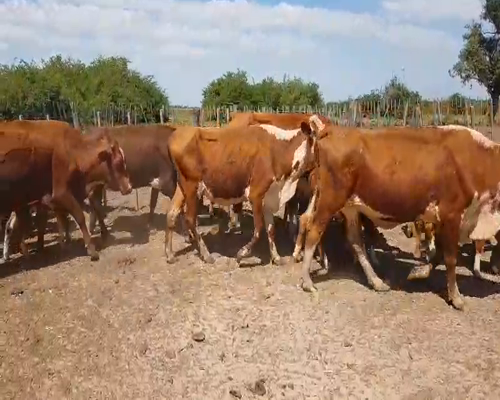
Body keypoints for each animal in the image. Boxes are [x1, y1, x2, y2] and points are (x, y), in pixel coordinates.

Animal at [0, 120, 131, 260]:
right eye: (119, 163)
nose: (129, 188)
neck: (73, 154)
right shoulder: (60, 195)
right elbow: (79, 217)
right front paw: (91, 250)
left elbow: (66, 219)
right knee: (12, 227)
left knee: (16, 226)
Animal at [166, 120, 318, 268]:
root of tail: (178, 133)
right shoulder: (255, 194)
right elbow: (259, 228)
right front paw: (241, 254)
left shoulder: (269, 197)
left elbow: (271, 229)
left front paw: (276, 257)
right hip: (192, 186)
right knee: (190, 219)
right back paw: (206, 254)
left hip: (182, 187)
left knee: (171, 213)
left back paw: (169, 254)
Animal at [294, 123, 500, 310]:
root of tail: (332, 130)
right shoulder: (452, 214)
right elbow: (450, 259)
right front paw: (456, 298)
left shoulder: (445, 220)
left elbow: (439, 255)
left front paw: (419, 271)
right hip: (330, 200)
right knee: (314, 230)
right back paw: (307, 281)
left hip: (350, 206)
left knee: (355, 240)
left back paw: (376, 281)